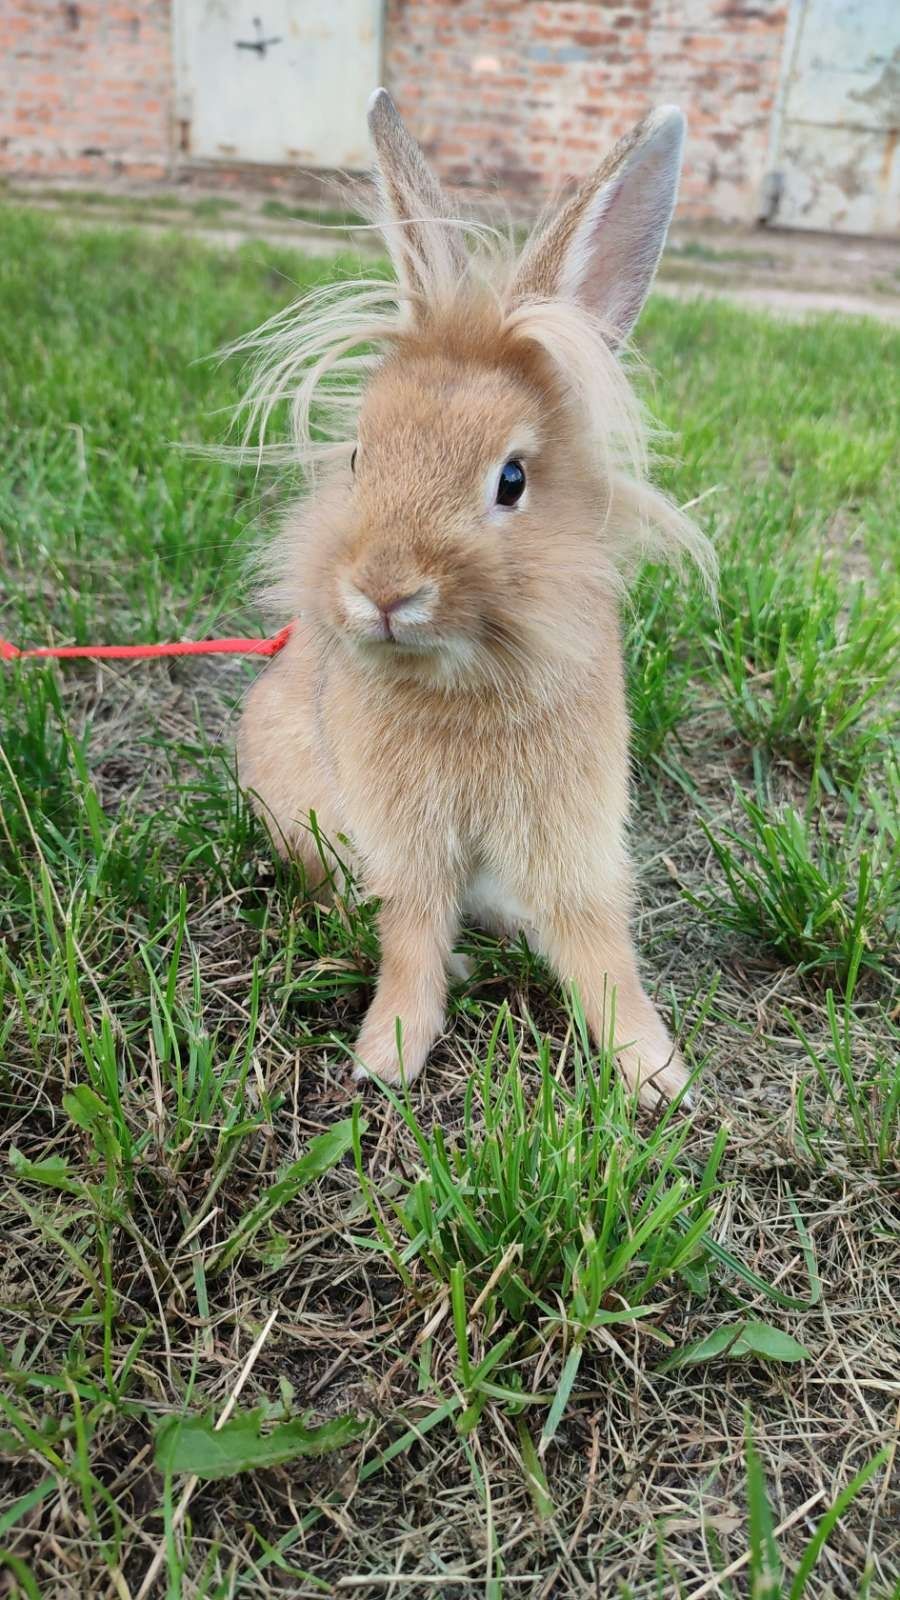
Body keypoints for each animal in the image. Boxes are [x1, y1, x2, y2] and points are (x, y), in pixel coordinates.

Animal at [235, 87, 711, 1107]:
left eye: (512, 481)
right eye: (357, 456)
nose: (383, 590)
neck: (464, 680)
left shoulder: (572, 838)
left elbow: (598, 947)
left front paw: (655, 1075)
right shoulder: (403, 843)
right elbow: (409, 934)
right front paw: (389, 1055)